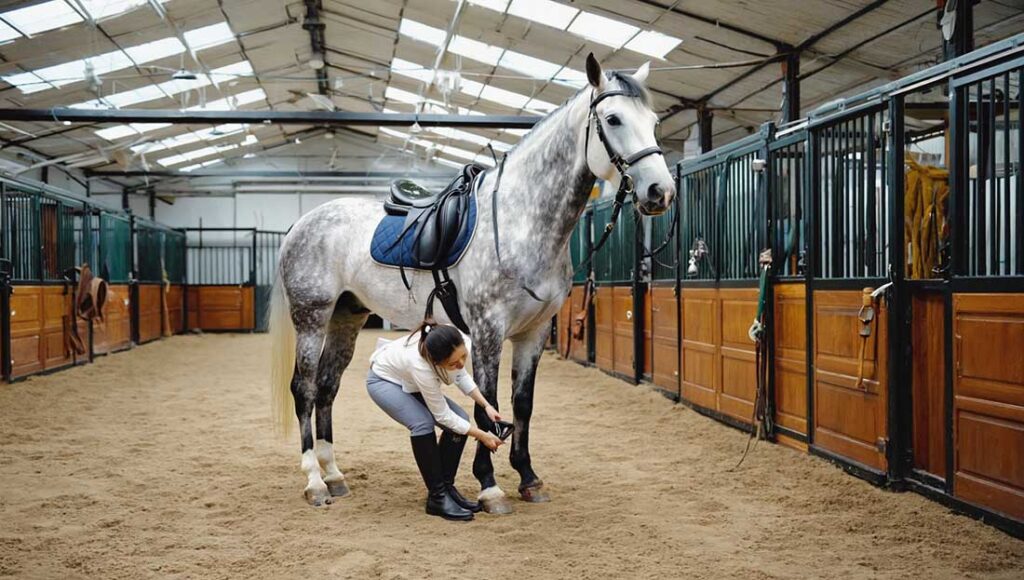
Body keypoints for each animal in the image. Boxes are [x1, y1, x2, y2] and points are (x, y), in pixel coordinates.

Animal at [268, 55, 675, 514]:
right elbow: (487, 405)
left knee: (327, 387)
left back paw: (335, 475)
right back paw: (315, 482)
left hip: (346, 317)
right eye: (613, 118)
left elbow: (521, 405)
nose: (660, 192)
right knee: (304, 389)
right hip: (312, 316)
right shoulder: (486, 330)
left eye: (654, 121)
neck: (521, 220)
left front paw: (528, 478)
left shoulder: (534, 333)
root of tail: (304, 221)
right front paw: (489, 485)